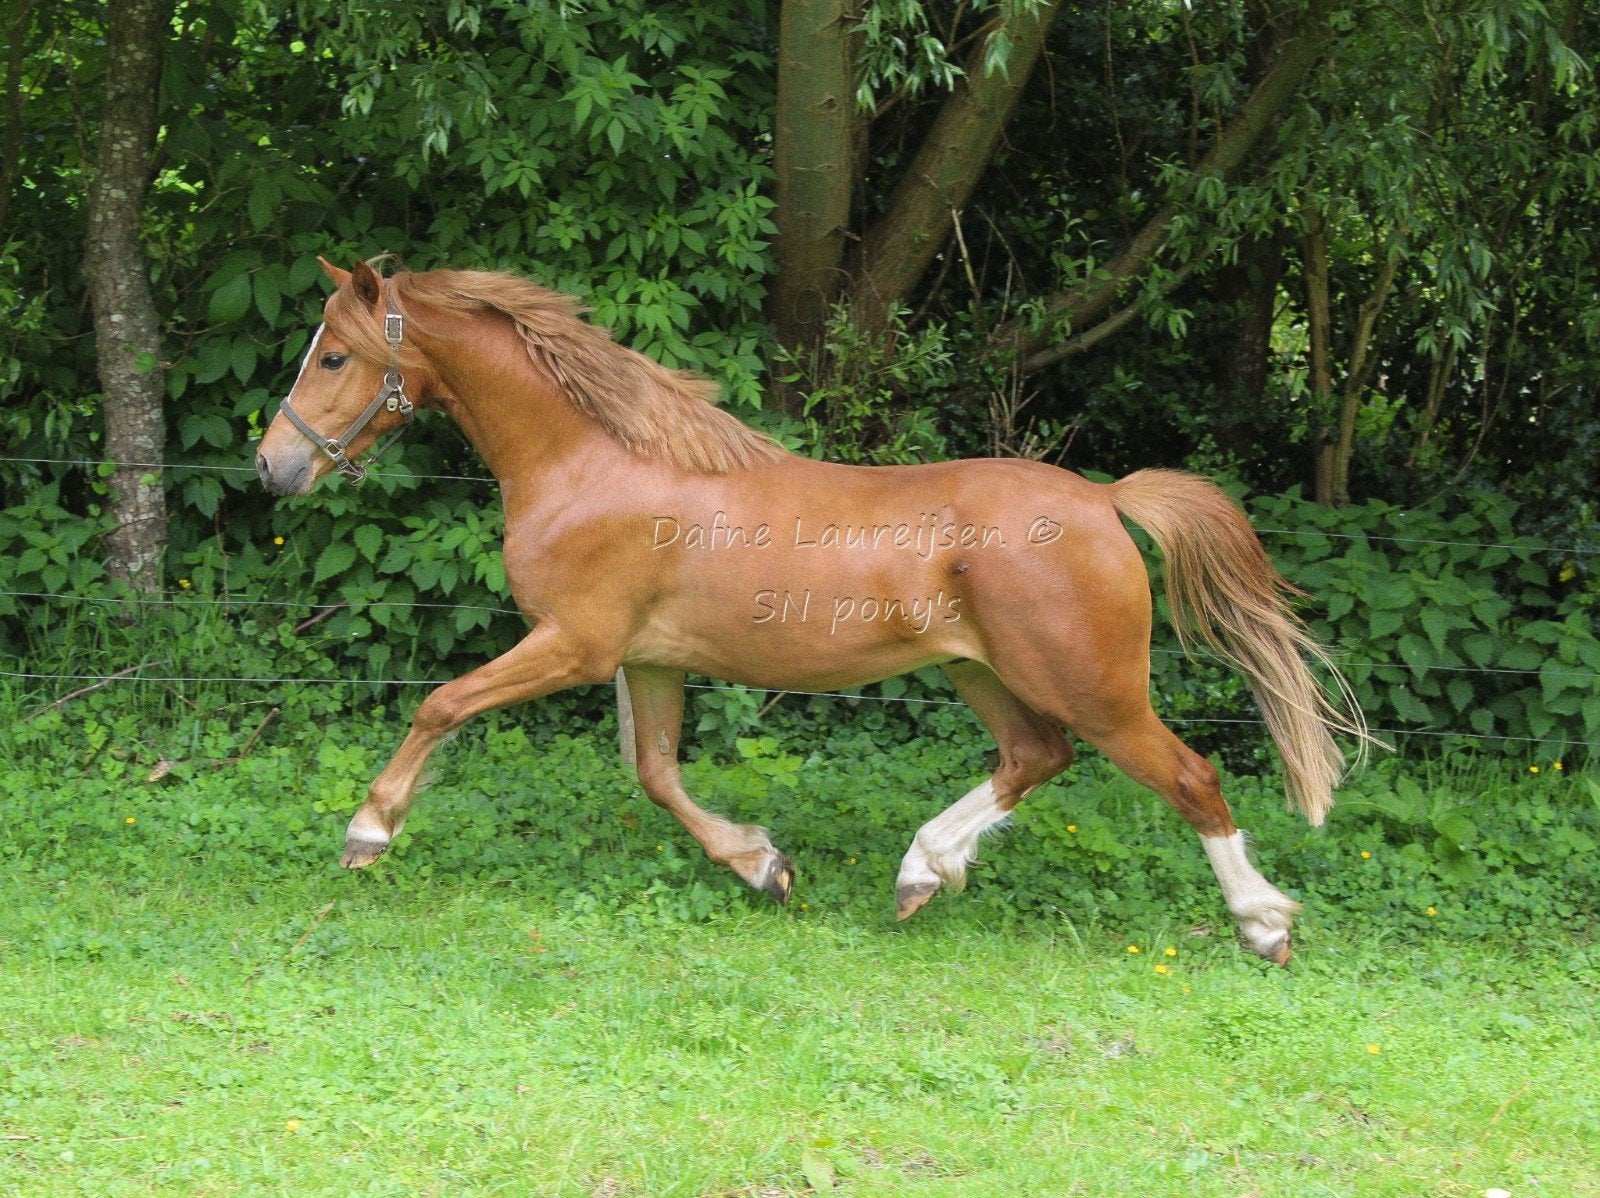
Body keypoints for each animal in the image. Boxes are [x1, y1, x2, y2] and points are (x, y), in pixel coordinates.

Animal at [256, 257, 1372, 964]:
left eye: (335, 356)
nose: (273, 468)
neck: (593, 463)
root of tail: (1102, 500)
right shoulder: (647, 660)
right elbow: (655, 772)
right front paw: (764, 867)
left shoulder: (574, 646)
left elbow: (441, 703)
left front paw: (367, 831)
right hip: (979, 670)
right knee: (1034, 756)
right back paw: (922, 871)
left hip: (1092, 685)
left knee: (1190, 777)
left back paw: (1263, 924)